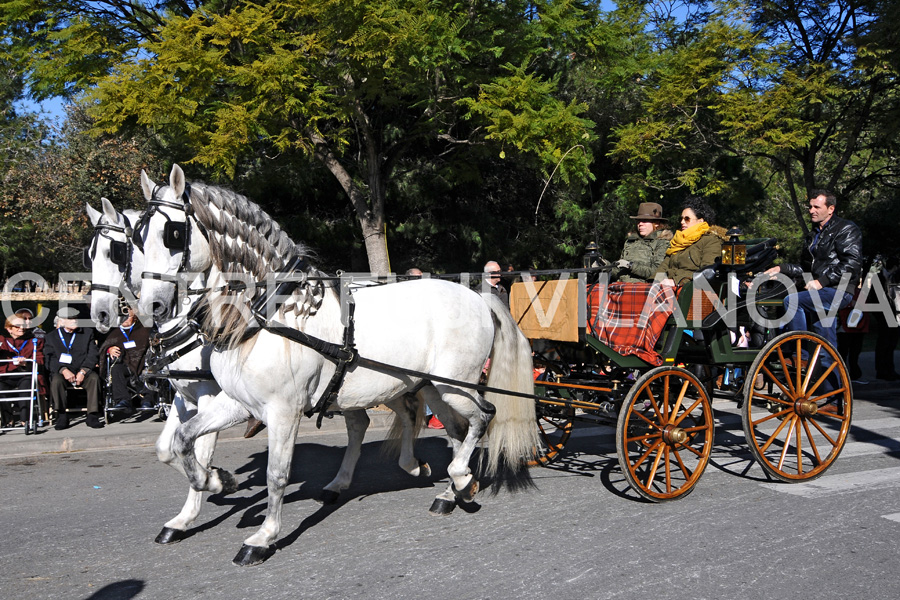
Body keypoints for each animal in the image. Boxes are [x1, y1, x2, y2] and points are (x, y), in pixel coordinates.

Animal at [85, 200, 251, 544]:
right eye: (89, 255)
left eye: (115, 251)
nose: (100, 314)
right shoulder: (183, 397)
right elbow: (168, 449)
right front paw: (213, 482)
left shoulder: (213, 398)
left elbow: (198, 451)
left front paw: (211, 487)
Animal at [137, 165, 536, 568]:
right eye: (138, 237)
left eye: (172, 234)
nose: (151, 306)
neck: (269, 316)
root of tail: (478, 296)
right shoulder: (235, 402)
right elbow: (184, 439)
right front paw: (215, 481)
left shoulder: (283, 411)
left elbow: (276, 474)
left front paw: (263, 537)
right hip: (430, 387)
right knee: (453, 428)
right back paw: (450, 492)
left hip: (456, 385)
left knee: (483, 416)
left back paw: (459, 479)